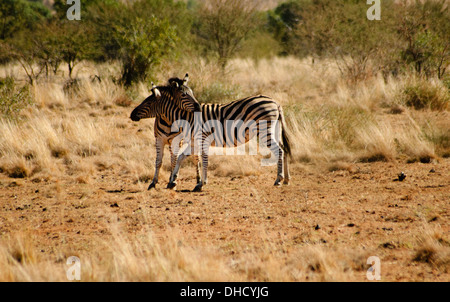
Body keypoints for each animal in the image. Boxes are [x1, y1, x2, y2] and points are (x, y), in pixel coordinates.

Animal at [130, 74, 292, 191]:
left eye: (148, 102)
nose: (132, 115)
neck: (185, 117)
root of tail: (275, 102)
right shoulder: (193, 141)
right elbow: (182, 157)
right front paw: (172, 181)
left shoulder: (203, 139)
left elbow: (204, 160)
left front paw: (201, 184)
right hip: (275, 129)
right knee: (283, 149)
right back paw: (286, 179)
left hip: (264, 130)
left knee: (279, 151)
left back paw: (278, 179)